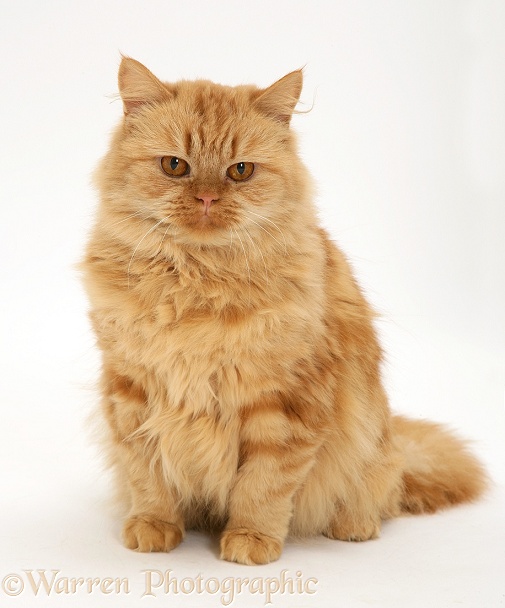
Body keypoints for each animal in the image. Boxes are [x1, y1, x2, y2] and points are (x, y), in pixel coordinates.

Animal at [80, 57, 486, 564]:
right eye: (175, 166)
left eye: (240, 171)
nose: (207, 198)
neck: (197, 283)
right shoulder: (132, 391)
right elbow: (148, 476)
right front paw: (154, 527)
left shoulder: (284, 402)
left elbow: (264, 485)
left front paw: (251, 541)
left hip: (374, 450)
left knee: (378, 493)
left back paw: (354, 527)